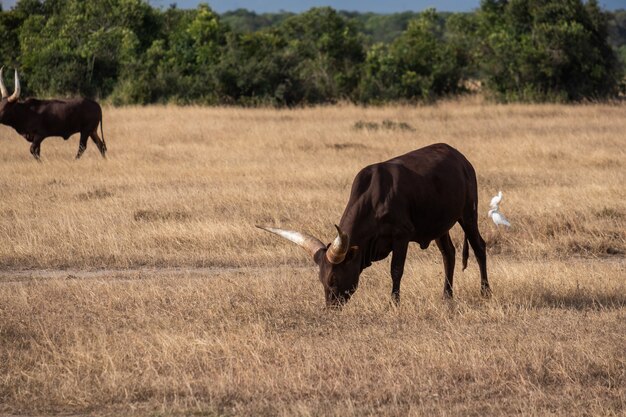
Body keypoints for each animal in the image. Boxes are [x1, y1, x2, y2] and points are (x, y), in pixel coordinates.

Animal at [256, 143, 490, 306]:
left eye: (333, 278)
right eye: (321, 279)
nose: (330, 307)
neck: (374, 198)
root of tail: (460, 158)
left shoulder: (402, 236)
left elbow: (396, 269)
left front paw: (394, 303)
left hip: (468, 214)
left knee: (479, 246)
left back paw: (485, 292)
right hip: (441, 226)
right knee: (448, 254)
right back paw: (447, 296)